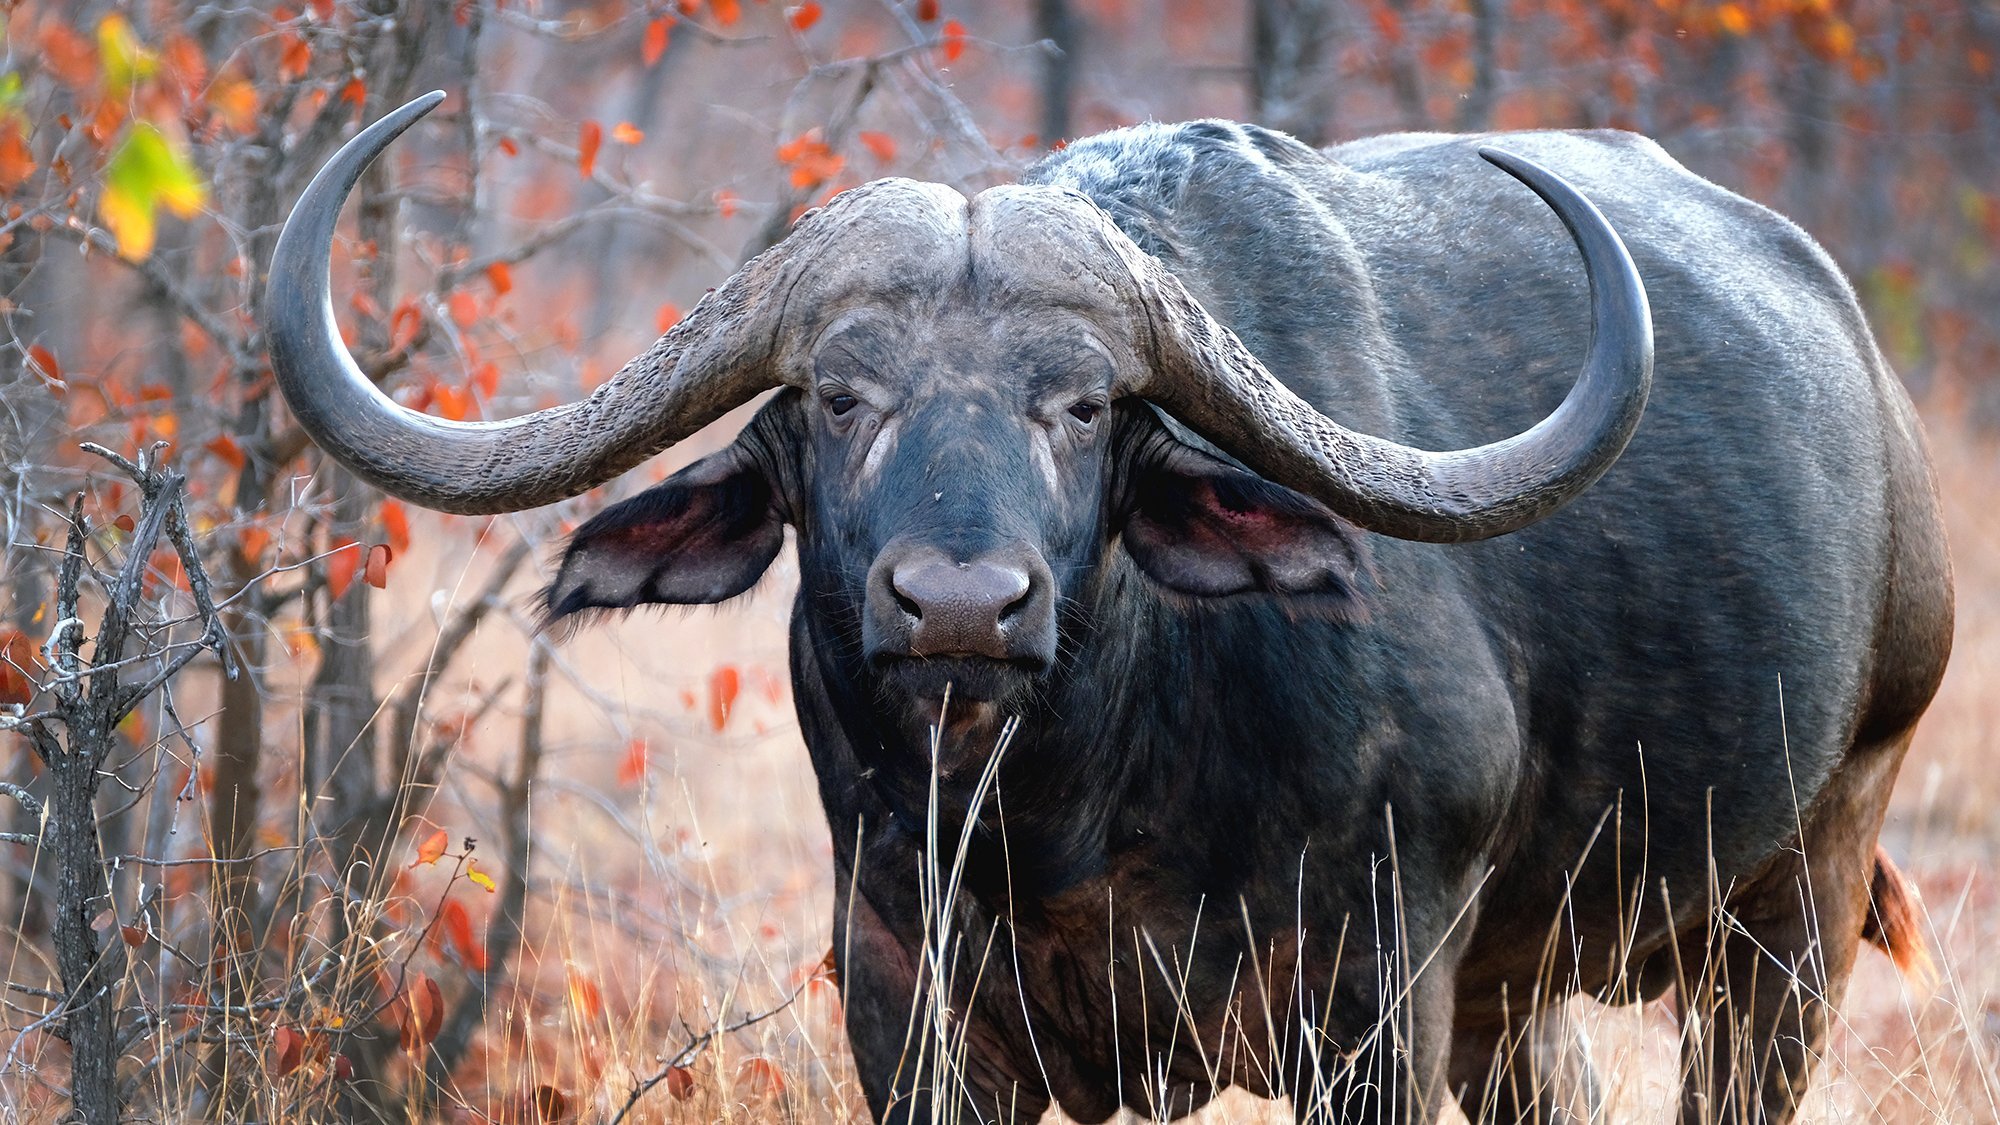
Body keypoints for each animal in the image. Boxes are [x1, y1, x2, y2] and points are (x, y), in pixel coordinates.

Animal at [267, 93, 1951, 1123]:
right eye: (838, 396)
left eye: (1081, 406)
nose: (960, 603)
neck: (1062, 813)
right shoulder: (908, 1009)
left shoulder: (1373, 1009)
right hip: (1523, 990)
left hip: (1801, 903)